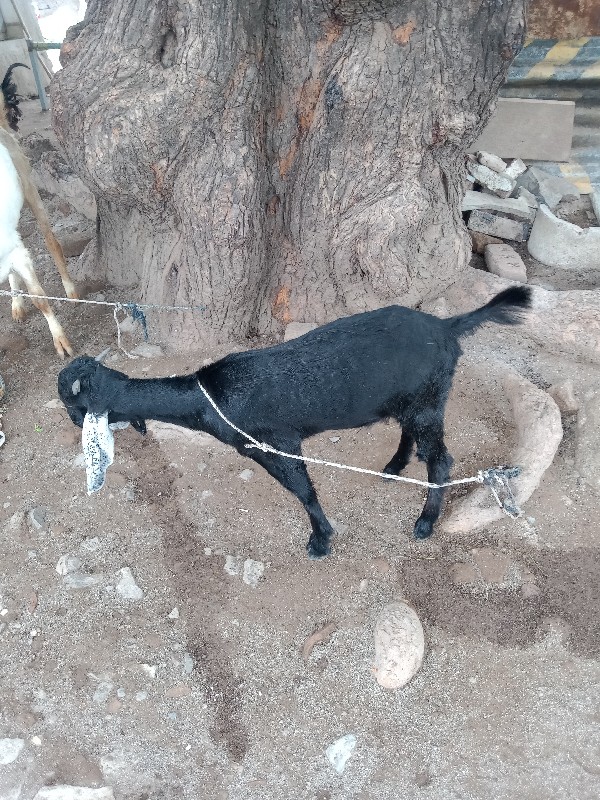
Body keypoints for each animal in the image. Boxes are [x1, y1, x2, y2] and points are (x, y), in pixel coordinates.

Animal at [1, 66, 75, 357]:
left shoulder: (17, 253)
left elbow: (40, 297)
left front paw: (62, 343)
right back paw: (16, 304)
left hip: (29, 185)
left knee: (51, 240)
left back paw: (71, 291)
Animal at [58, 286, 531, 558]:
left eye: (74, 405)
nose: (74, 427)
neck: (209, 398)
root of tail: (448, 326)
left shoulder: (275, 444)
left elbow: (303, 491)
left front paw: (321, 540)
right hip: (413, 400)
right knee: (409, 433)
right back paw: (394, 467)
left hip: (428, 400)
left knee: (442, 459)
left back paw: (426, 521)